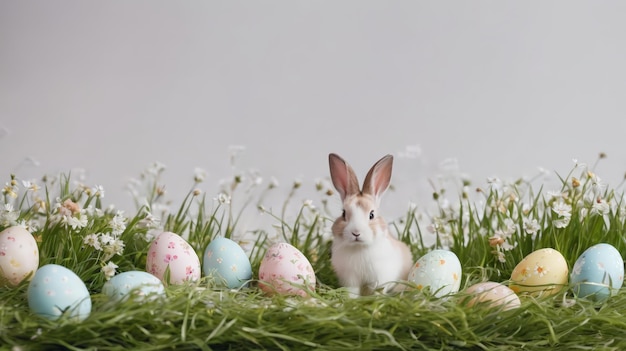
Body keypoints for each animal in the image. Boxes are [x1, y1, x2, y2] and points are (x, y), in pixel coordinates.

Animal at [326, 154, 414, 296]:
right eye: (343, 214)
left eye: (371, 215)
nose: (356, 233)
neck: (359, 248)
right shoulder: (351, 278)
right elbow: (353, 290)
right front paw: (352, 298)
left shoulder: (379, 278)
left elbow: (378, 290)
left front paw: (377, 298)